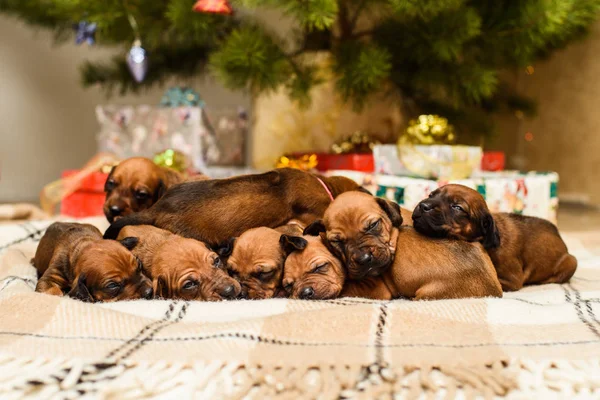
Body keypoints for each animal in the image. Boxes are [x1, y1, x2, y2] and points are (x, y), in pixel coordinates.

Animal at [412, 184, 576, 290]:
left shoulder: (511, 280)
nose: (423, 205)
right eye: (431, 195)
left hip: (571, 261)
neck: (487, 239)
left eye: (457, 207)